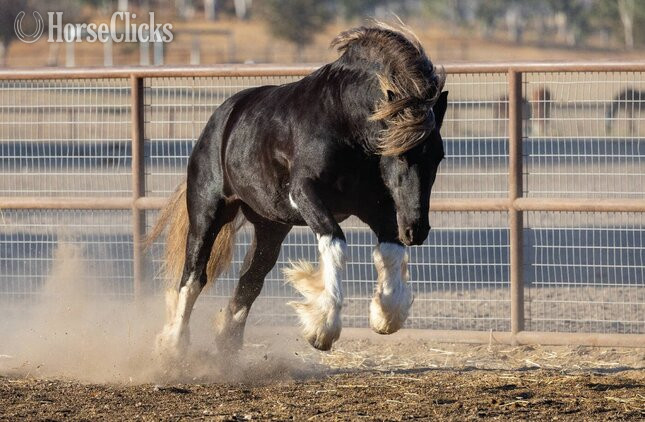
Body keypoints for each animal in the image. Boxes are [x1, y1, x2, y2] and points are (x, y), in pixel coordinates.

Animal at [148, 23, 448, 356]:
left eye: (438, 157)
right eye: (401, 154)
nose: (416, 230)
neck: (344, 122)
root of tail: (220, 120)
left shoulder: (375, 206)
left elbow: (391, 250)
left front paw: (385, 315)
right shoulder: (306, 194)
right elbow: (335, 244)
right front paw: (323, 328)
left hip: (270, 227)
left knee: (250, 279)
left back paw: (227, 344)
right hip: (207, 213)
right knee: (193, 276)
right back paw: (173, 344)